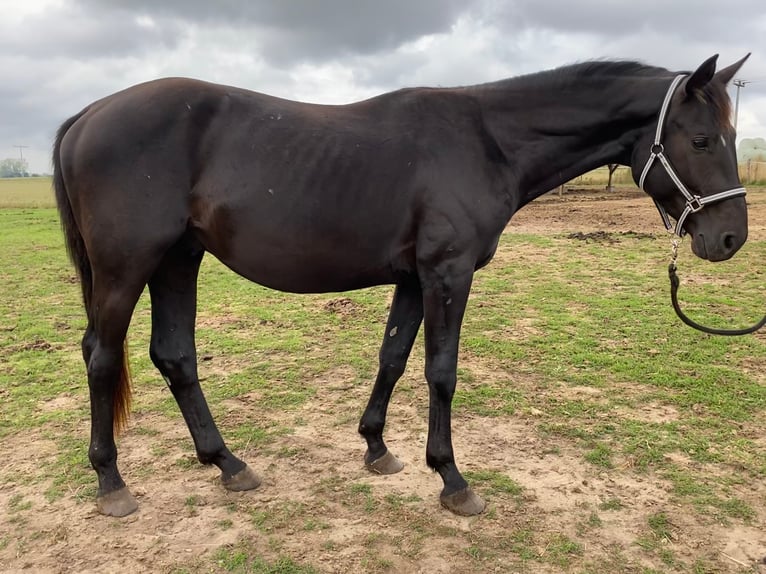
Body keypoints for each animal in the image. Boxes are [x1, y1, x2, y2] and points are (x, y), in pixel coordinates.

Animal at [54, 56, 752, 520]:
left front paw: (377, 448)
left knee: (174, 356)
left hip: (178, 260)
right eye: (701, 138)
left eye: (730, 135)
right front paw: (452, 479)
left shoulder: (415, 279)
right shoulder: (448, 272)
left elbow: (392, 357)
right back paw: (112, 483)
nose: (729, 239)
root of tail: (89, 115)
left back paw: (227, 463)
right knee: (102, 357)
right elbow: (441, 371)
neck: (487, 141)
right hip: (127, 267)